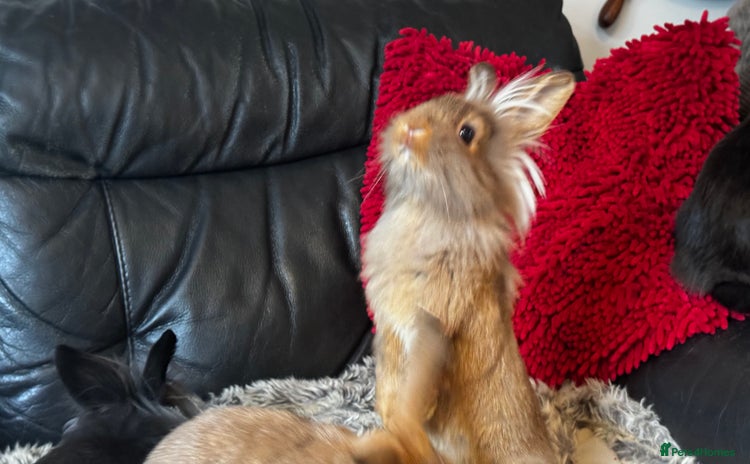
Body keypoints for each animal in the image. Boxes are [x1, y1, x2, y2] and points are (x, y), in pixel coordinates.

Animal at [361, 62, 575, 463]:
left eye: (467, 133)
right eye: (429, 100)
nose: (409, 129)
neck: (431, 210)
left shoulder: (432, 329)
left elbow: (415, 395)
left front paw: (396, 428)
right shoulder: (391, 331)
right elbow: (391, 381)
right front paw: (385, 421)